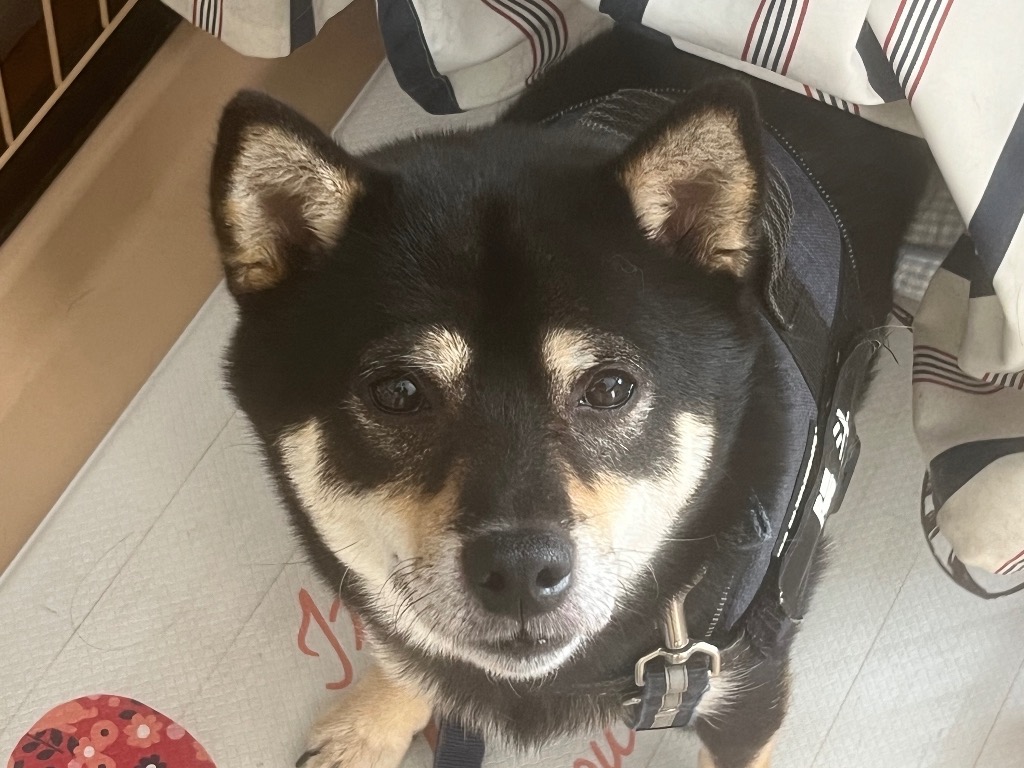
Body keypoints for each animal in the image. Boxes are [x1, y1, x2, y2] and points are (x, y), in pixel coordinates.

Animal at [209, 25, 931, 768]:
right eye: (398, 392)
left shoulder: (744, 691)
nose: (520, 569)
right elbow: (408, 646)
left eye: (610, 387)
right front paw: (372, 722)